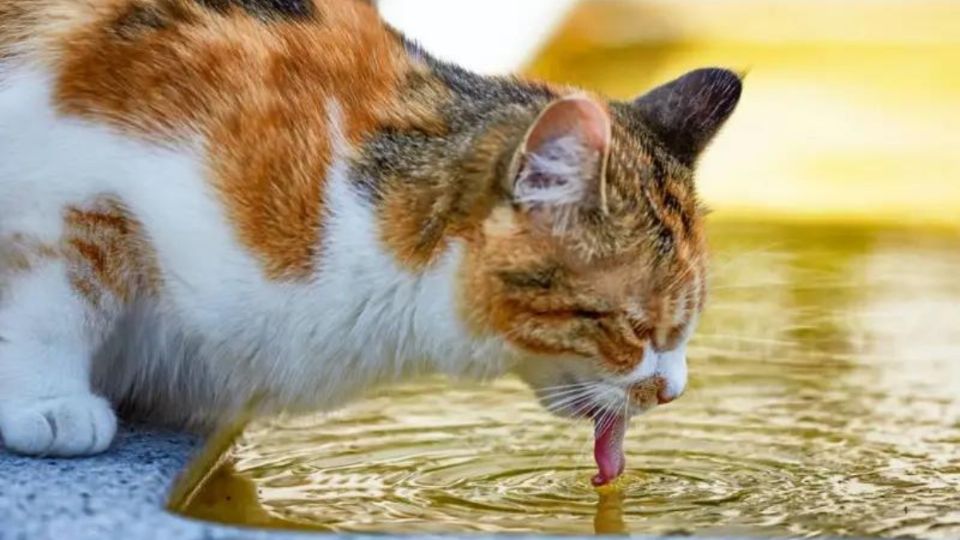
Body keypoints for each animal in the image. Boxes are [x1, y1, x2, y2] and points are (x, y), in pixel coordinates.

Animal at [0, 0, 744, 486]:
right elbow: (62, 285)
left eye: (684, 329)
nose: (674, 391)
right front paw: (46, 401)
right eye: (638, 328)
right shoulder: (70, 171)